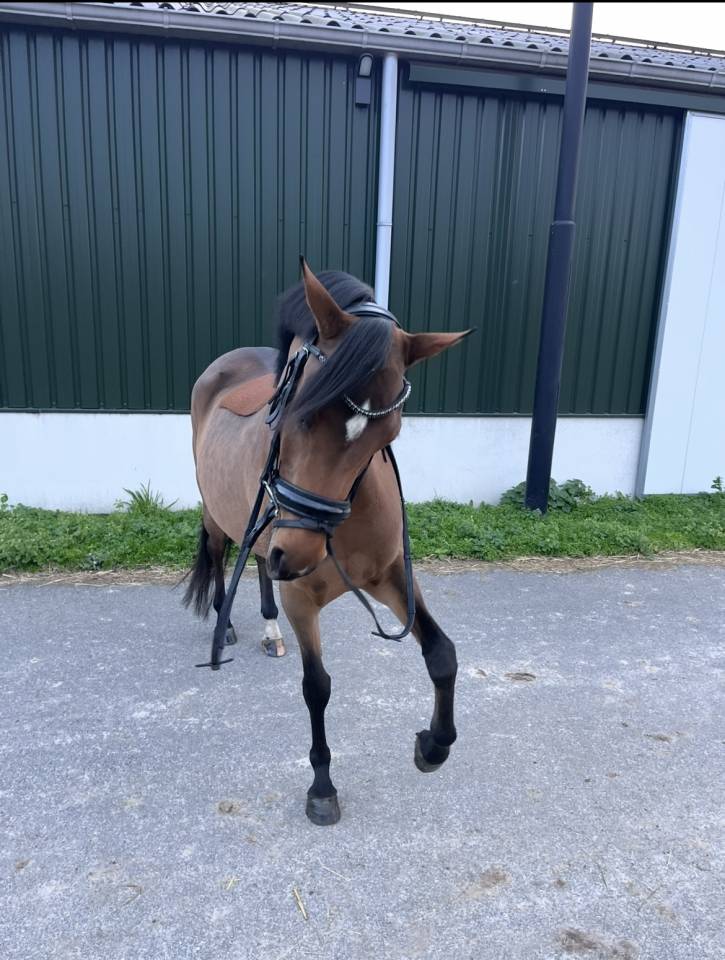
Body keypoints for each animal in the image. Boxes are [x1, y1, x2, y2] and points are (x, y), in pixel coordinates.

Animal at [184, 259, 470, 825]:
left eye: (387, 436)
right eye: (299, 409)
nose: (297, 555)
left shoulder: (390, 577)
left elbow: (442, 653)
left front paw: (433, 744)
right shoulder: (301, 597)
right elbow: (317, 688)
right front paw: (321, 785)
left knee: (256, 562)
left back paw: (269, 630)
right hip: (220, 513)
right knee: (226, 552)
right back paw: (228, 624)